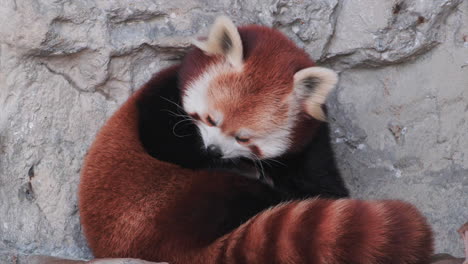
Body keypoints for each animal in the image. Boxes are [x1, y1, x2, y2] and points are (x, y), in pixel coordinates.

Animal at [79, 17, 432, 264]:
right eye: (211, 120)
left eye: (244, 137)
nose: (214, 151)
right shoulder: (161, 94)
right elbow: (162, 141)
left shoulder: (312, 141)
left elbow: (329, 188)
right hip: (160, 200)